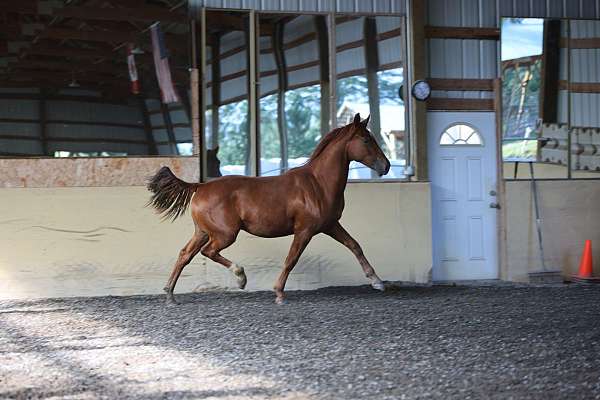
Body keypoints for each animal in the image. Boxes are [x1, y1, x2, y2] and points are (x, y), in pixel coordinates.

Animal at [148, 112, 392, 304]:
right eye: (366, 140)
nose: (386, 166)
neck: (318, 184)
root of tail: (200, 186)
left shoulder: (330, 225)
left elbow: (355, 246)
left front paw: (377, 282)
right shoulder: (305, 230)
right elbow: (291, 259)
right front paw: (279, 293)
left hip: (203, 232)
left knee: (185, 255)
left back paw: (170, 295)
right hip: (225, 234)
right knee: (208, 252)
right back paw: (240, 277)